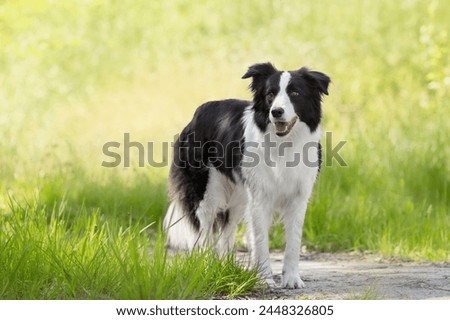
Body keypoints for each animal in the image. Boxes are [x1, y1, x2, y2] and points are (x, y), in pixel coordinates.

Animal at [163, 62, 328, 288]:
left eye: (295, 93)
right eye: (270, 94)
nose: (276, 112)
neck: (284, 145)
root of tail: (197, 113)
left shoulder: (298, 197)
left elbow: (294, 240)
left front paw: (292, 279)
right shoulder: (260, 198)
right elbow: (260, 240)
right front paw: (264, 279)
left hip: (239, 198)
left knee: (227, 230)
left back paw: (224, 268)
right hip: (208, 190)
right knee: (205, 229)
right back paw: (207, 268)